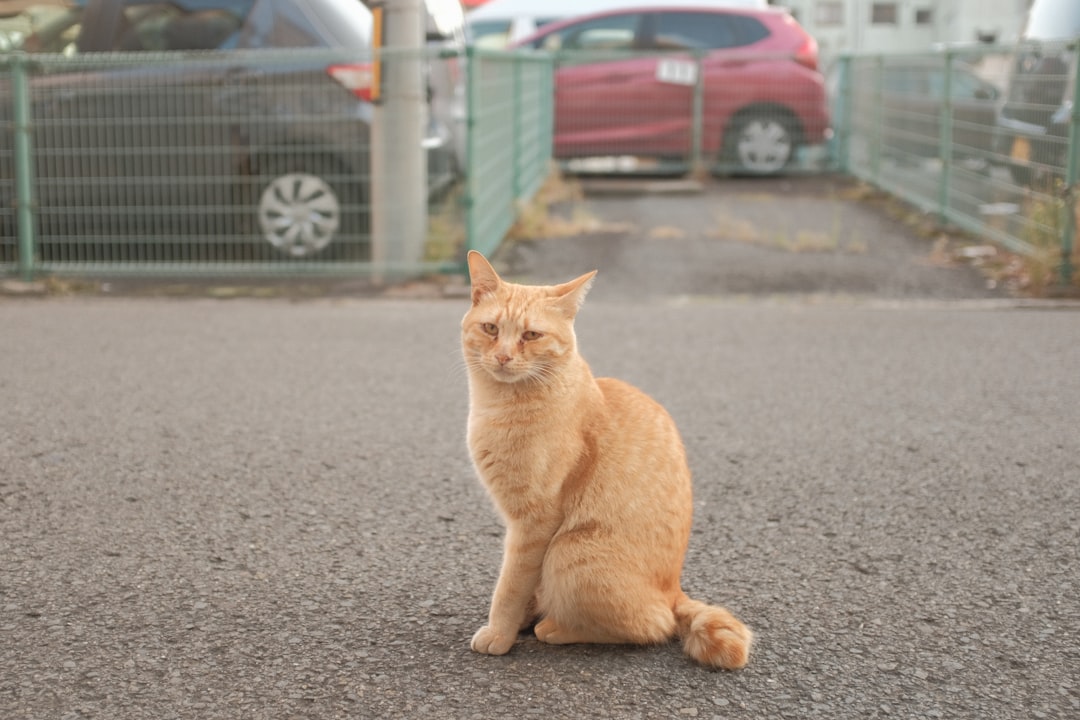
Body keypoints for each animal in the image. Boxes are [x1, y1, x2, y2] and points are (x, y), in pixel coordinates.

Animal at [462, 252, 751, 669]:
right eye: (490, 328)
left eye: (531, 335)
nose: (502, 356)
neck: (497, 405)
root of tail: (673, 589)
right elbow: (524, 586)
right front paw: (522, 617)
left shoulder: (534, 522)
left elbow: (510, 585)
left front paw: (501, 632)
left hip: (568, 552)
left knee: (653, 626)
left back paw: (555, 627)